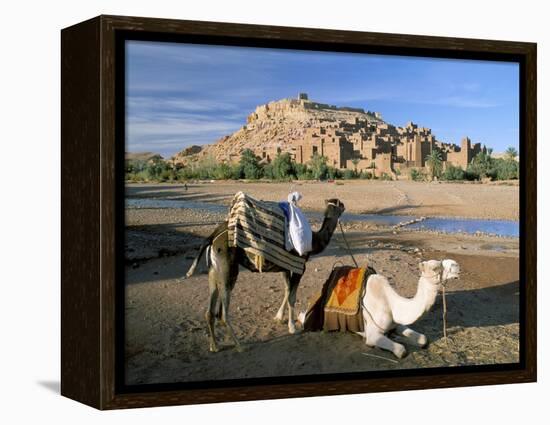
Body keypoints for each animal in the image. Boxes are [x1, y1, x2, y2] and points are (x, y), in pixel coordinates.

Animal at [188, 199, 348, 352]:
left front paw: (278, 317)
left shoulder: (285, 267)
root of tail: (212, 237)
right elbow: (292, 296)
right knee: (222, 313)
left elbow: (287, 291)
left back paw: (214, 346)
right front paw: (292, 327)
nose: (344, 206)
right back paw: (240, 346)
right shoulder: (299, 267)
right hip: (228, 270)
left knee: (210, 311)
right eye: (339, 204)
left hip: (214, 271)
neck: (313, 241)